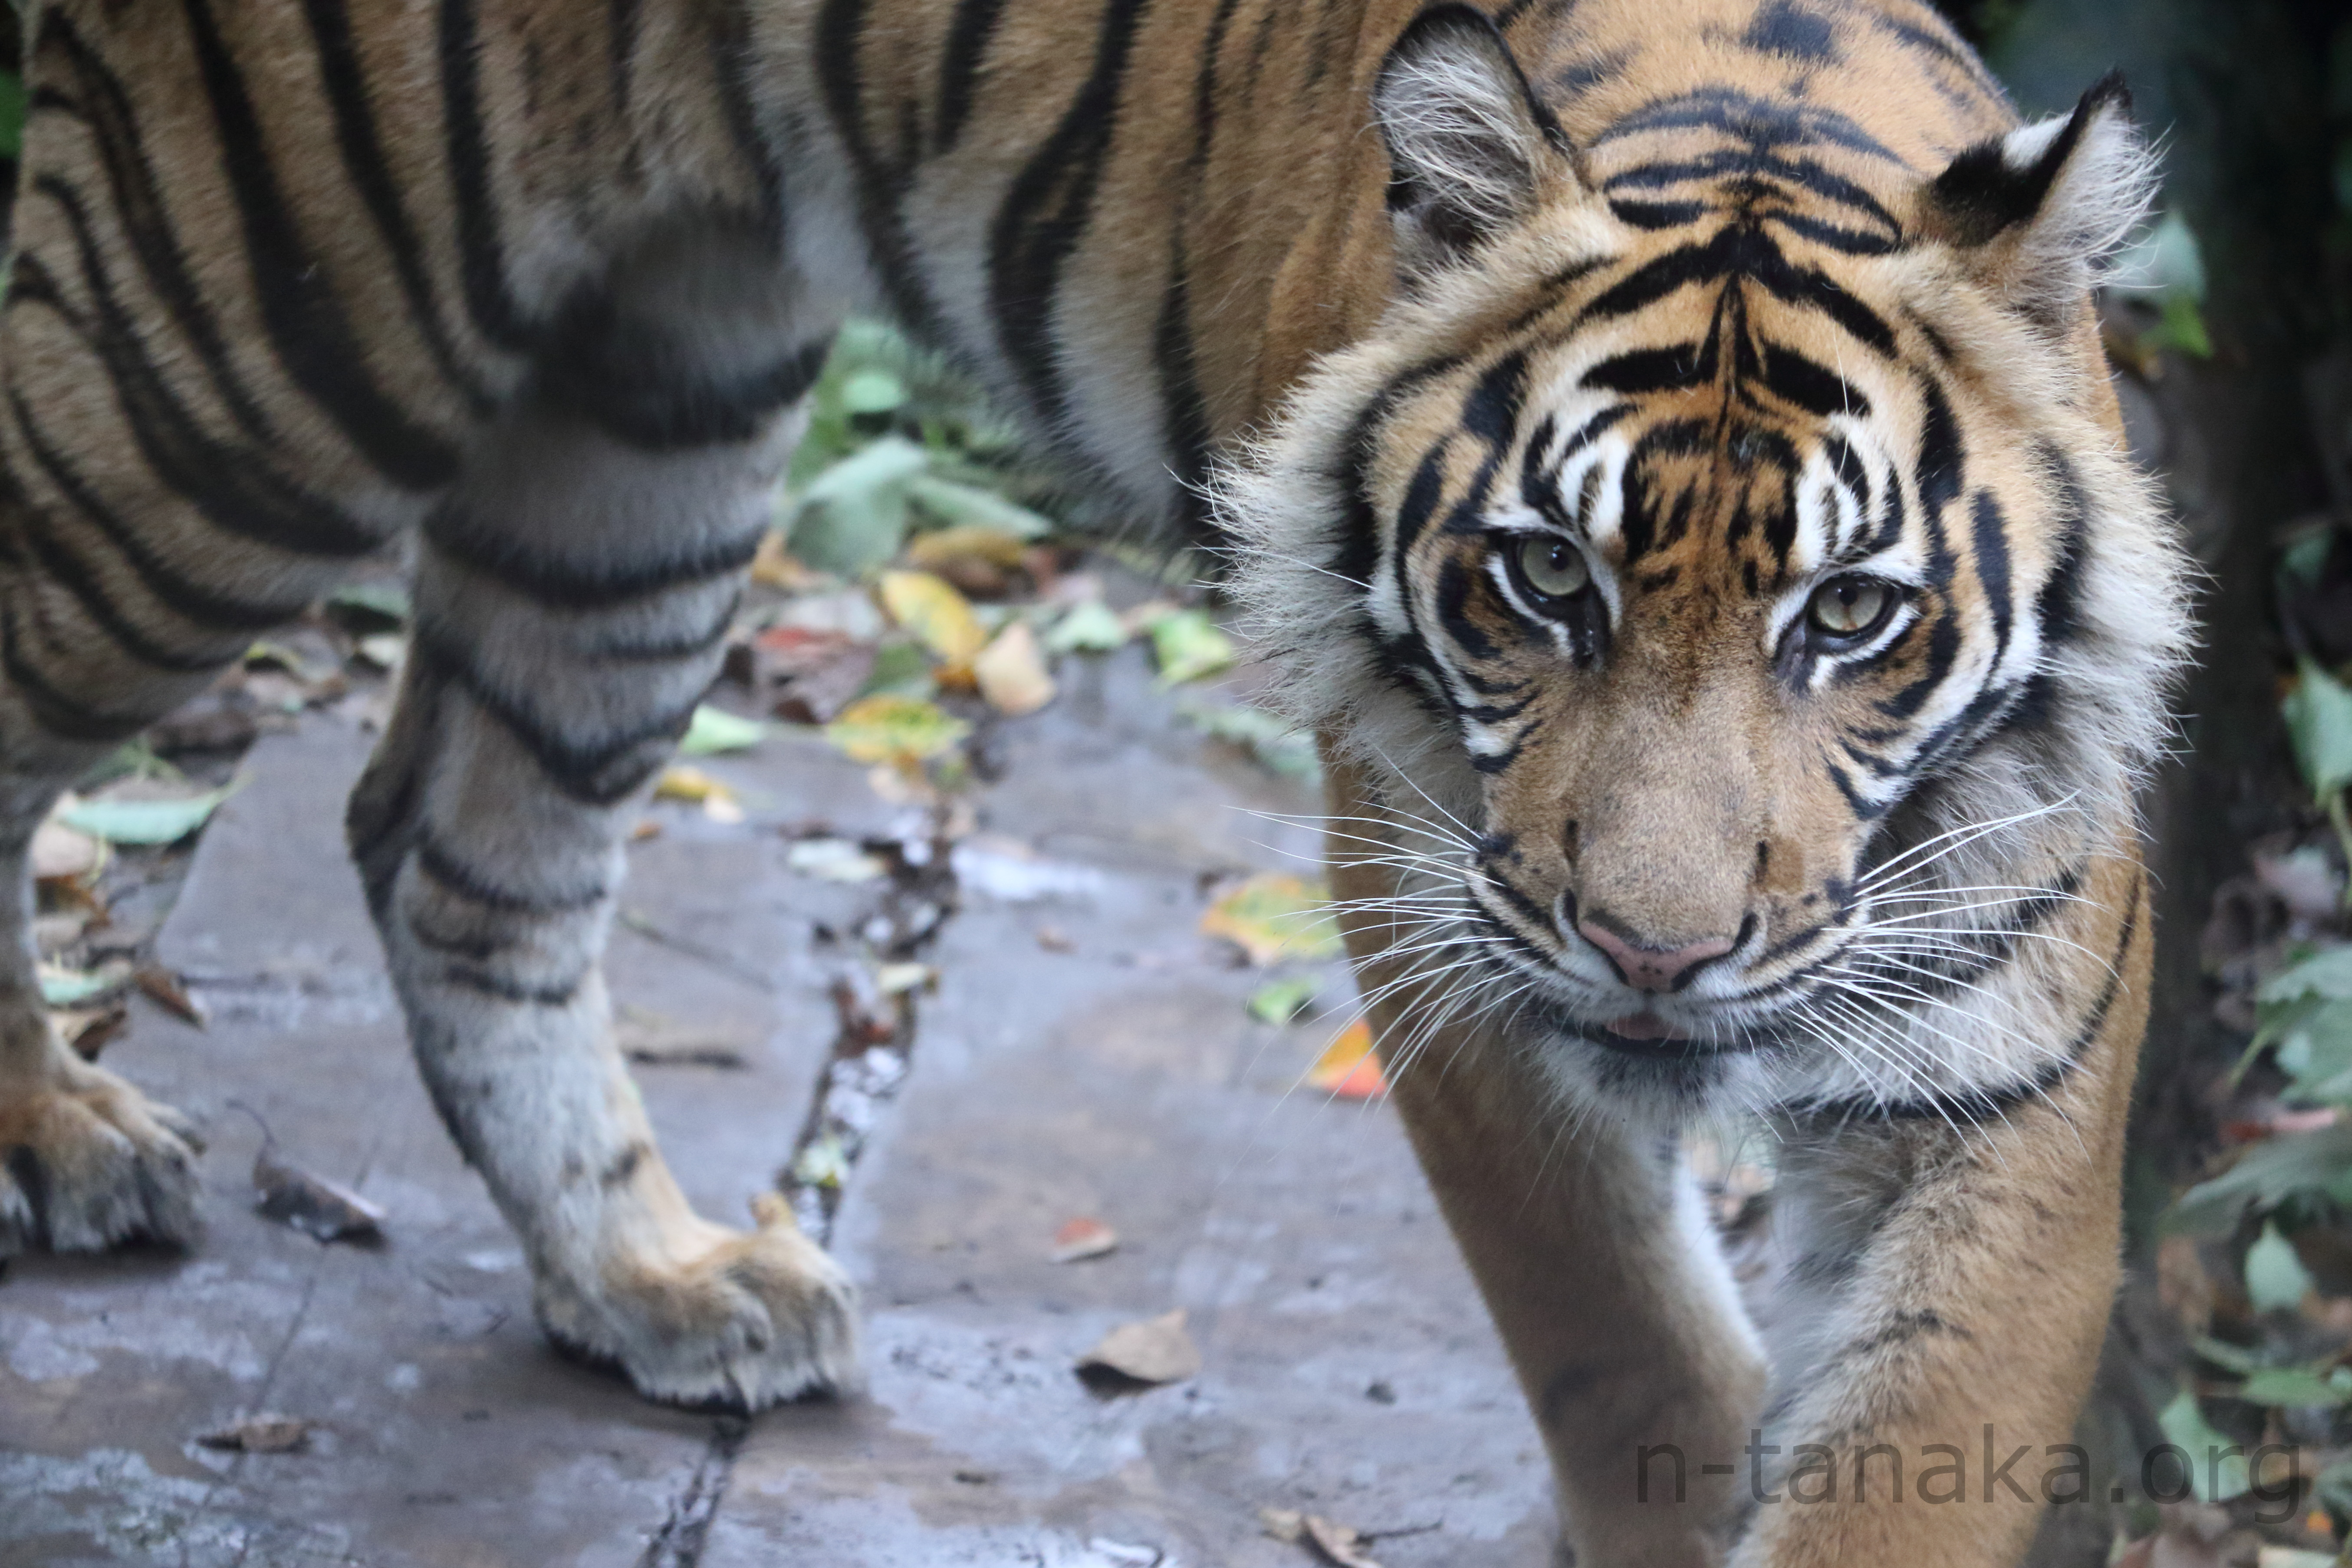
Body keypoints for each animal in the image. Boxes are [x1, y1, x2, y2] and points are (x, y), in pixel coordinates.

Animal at [0, 0, 2187, 1563]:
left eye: (1850, 615)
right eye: (1542, 580)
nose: (1653, 956)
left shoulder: (2007, 1072)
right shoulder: (1454, 944)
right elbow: (1629, 1357)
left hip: (654, 412)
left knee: (459, 841)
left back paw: (660, 1281)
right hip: (250, 353)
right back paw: (65, 1143)